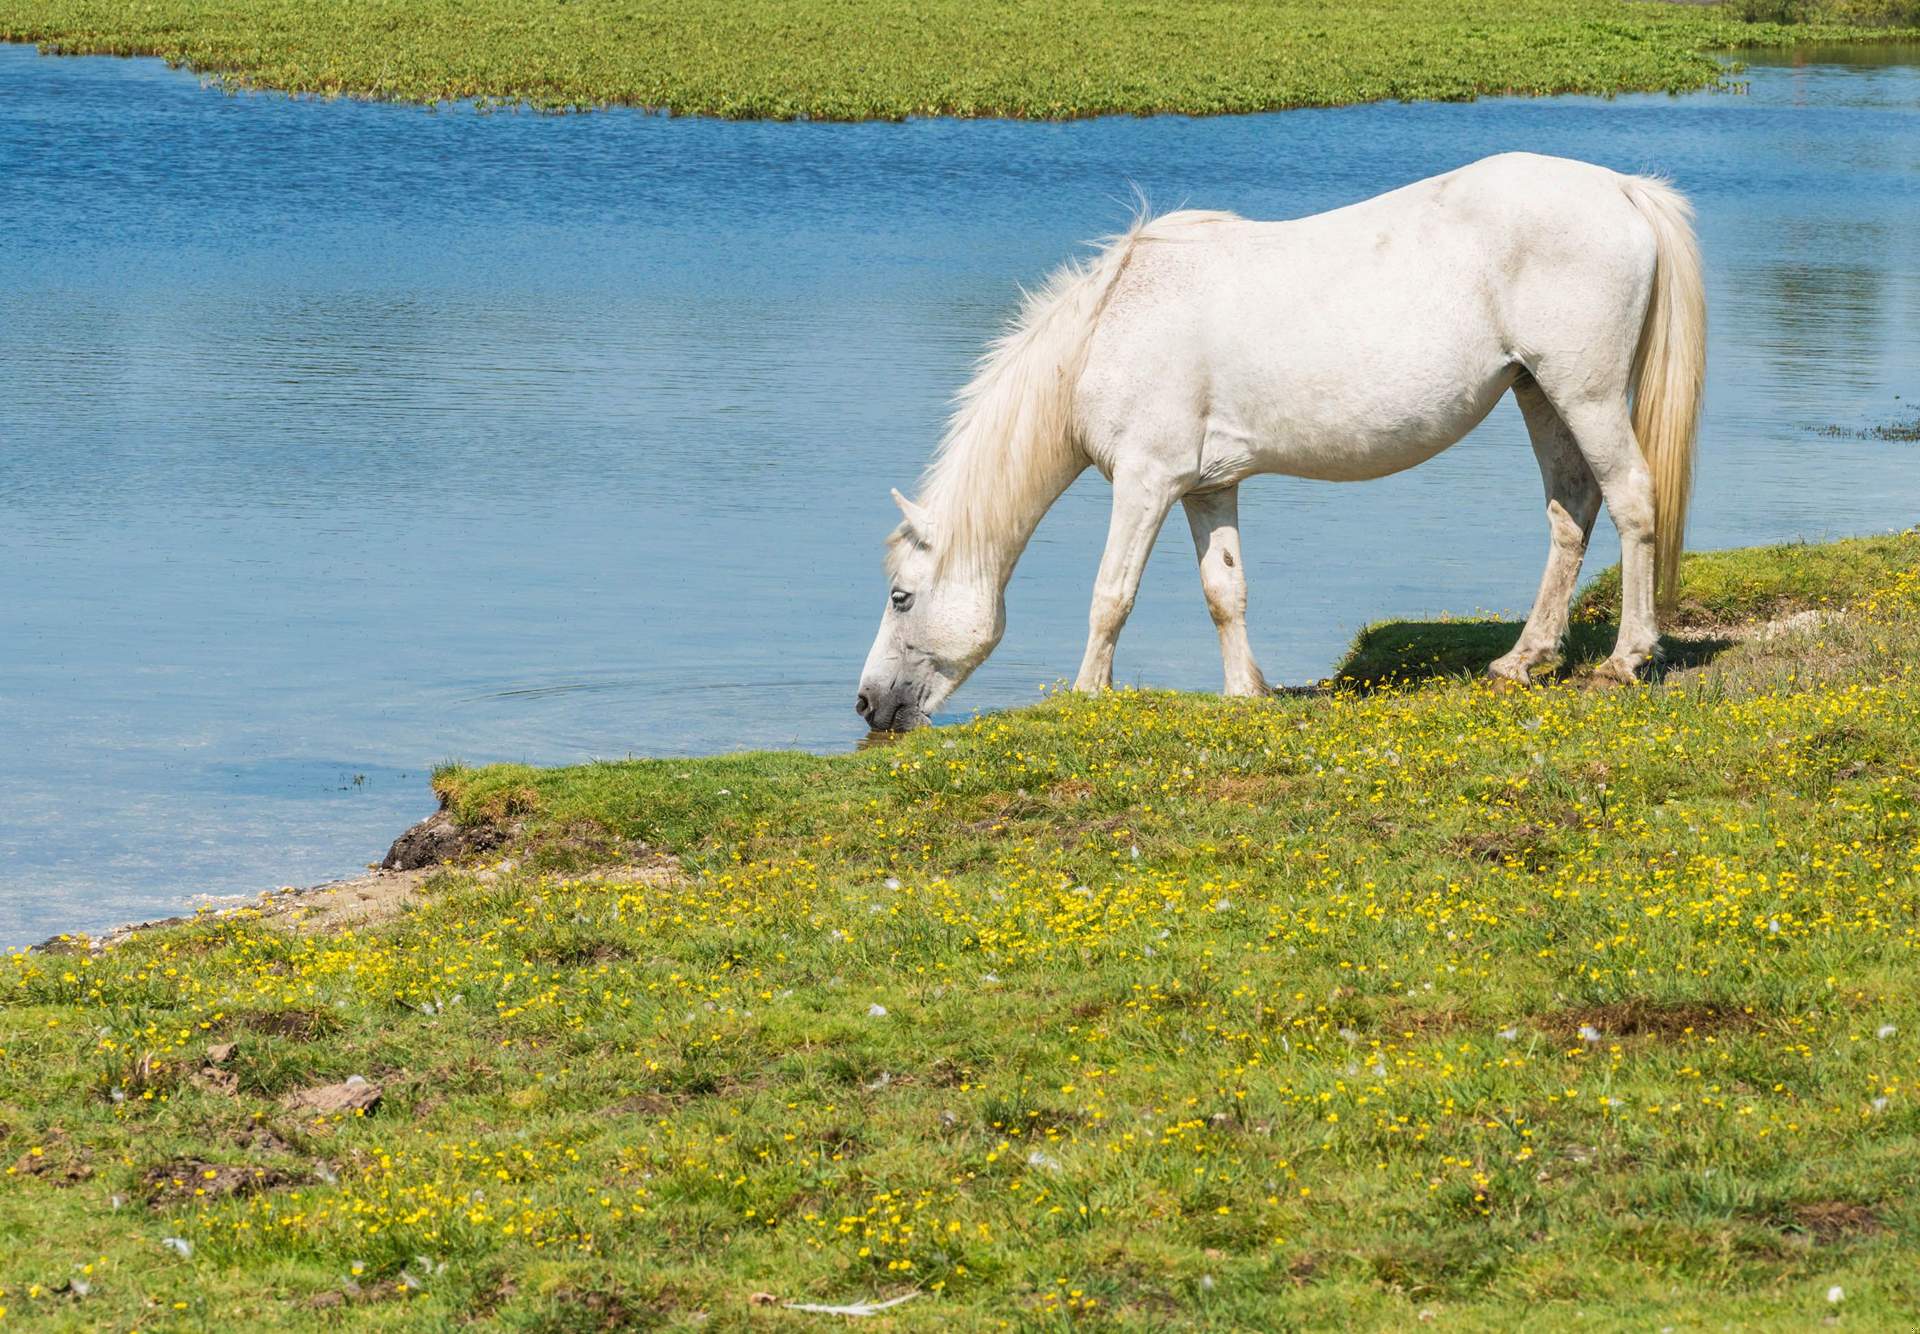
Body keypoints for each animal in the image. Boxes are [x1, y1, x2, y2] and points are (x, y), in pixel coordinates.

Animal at [864, 157, 1704, 737]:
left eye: (901, 596)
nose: (868, 704)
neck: (1108, 328)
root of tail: (1624, 189)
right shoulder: (1207, 487)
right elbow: (1223, 591)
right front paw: (1245, 693)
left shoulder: (1145, 481)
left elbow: (1112, 595)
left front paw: (1086, 696)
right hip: (1538, 391)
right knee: (1572, 509)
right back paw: (1524, 660)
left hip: (1586, 394)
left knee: (1631, 499)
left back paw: (1625, 661)